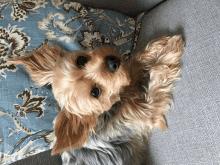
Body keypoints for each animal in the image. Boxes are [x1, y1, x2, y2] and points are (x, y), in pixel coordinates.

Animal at [6, 35, 184, 164]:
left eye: (81, 60)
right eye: (95, 92)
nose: (113, 61)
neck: (111, 108)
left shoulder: (124, 82)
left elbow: (134, 63)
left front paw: (158, 46)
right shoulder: (147, 111)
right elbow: (157, 79)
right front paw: (171, 50)